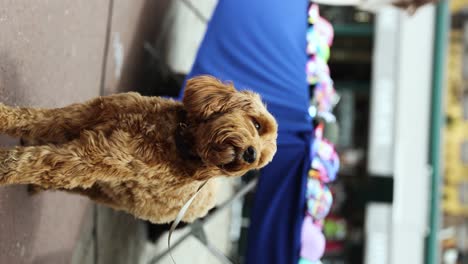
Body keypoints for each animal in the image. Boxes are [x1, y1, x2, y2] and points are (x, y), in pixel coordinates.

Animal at [0, 75, 278, 224]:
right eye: (257, 125)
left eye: (258, 162)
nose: (251, 154)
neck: (177, 138)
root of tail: (208, 203)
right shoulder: (81, 115)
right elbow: (34, 118)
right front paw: (4, 117)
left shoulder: (90, 159)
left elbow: (31, 163)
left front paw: (4, 169)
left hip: (105, 191)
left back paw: (37, 186)